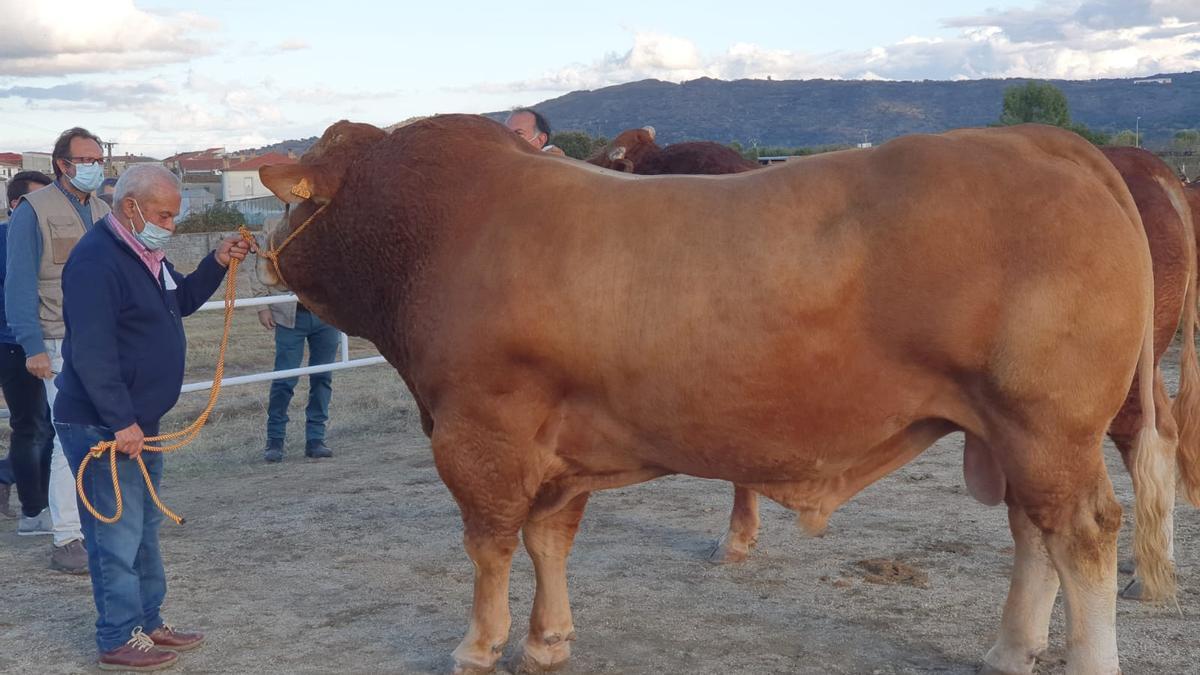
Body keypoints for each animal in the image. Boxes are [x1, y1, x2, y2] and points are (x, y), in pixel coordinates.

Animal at [255, 117, 1171, 672]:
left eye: (294, 205)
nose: (261, 253)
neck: (436, 229)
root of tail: (1046, 140)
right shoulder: (560, 446)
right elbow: (549, 539)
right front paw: (548, 639)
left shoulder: (480, 430)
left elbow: (489, 546)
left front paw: (478, 644)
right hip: (1015, 432)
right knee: (1033, 532)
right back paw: (1008, 648)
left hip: (1046, 422)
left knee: (1083, 532)